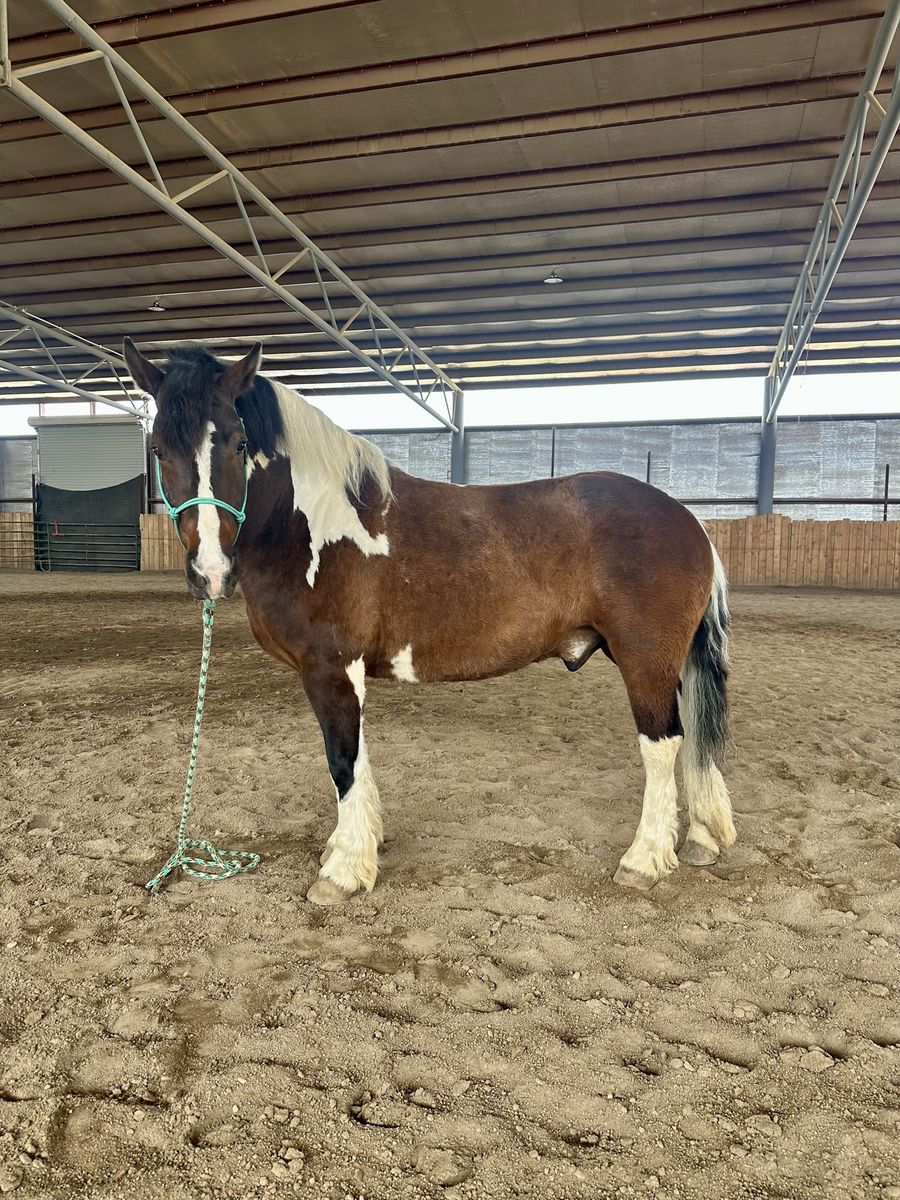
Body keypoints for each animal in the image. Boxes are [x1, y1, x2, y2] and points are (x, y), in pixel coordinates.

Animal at [124, 339, 735, 906]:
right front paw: (355, 844)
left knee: (662, 746)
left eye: (238, 442)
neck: (309, 525)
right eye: (157, 448)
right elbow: (356, 757)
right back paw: (702, 838)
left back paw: (644, 859)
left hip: (645, 659)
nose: (210, 571)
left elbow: (343, 758)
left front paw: (343, 871)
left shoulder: (331, 668)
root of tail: (688, 519)